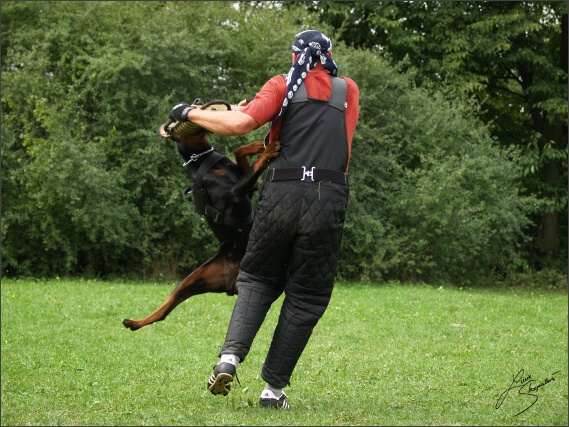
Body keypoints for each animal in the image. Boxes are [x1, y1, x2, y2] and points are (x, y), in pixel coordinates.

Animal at [123, 102, 278, 332]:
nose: (197, 101)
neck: (202, 158)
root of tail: (232, 283)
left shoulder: (250, 188)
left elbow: (239, 151)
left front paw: (258, 145)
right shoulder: (235, 192)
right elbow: (254, 166)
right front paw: (268, 150)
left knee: (162, 313)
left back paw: (133, 323)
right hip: (190, 281)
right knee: (163, 312)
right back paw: (134, 322)